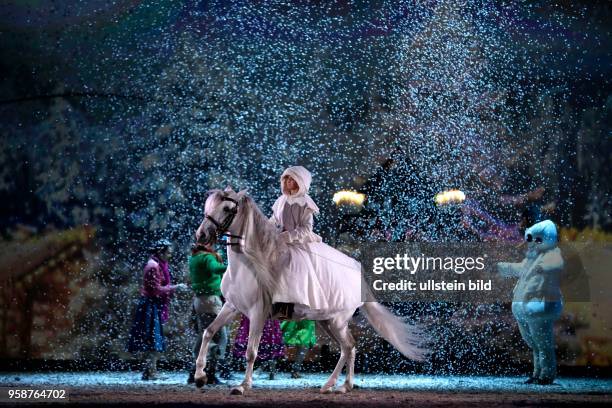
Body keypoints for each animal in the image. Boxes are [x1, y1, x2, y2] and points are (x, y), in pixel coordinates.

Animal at [196, 189, 426, 396]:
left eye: (227, 209)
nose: (201, 235)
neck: (246, 266)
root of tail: (357, 272)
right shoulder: (231, 307)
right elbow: (208, 331)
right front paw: (200, 376)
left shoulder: (257, 313)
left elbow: (251, 352)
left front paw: (243, 386)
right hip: (327, 321)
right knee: (348, 347)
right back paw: (340, 385)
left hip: (337, 321)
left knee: (348, 346)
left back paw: (335, 385)